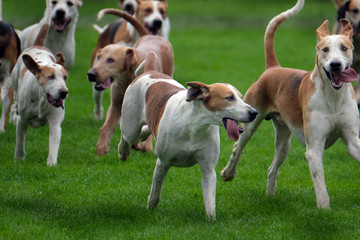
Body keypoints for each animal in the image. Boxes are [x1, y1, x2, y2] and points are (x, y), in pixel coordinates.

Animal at [88, 8, 176, 154]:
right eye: (99, 57)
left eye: (111, 60)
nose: (91, 74)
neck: (128, 76)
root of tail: (151, 35)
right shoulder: (116, 105)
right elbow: (106, 127)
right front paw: (101, 148)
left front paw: (144, 146)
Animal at [119, 52, 258, 219]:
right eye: (229, 98)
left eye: (241, 97)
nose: (254, 112)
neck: (195, 126)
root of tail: (150, 71)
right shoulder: (163, 162)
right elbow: (156, 190)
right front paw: (151, 206)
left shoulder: (208, 168)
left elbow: (210, 203)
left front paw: (211, 219)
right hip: (130, 125)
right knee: (126, 135)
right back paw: (123, 151)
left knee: (144, 129)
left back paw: (144, 134)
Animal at [219, 0, 360, 208]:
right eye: (324, 49)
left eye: (344, 48)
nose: (335, 65)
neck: (333, 97)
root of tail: (273, 67)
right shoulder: (314, 149)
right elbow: (320, 185)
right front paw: (324, 210)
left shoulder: (352, 141)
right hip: (251, 120)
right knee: (239, 147)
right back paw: (228, 173)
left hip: (284, 141)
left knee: (272, 168)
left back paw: (270, 198)